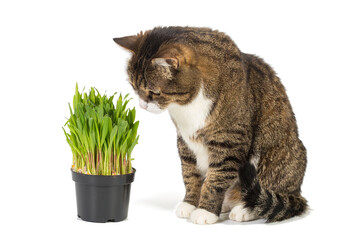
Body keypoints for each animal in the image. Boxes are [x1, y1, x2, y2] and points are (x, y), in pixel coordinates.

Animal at [114, 25, 308, 224]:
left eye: (154, 92)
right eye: (133, 87)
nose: (142, 105)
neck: (186, 106)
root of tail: (297, 193)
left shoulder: (228, 140)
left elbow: (216, 179)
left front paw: (205, 210)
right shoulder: (185, 140)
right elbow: (190, 175)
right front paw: (190, 204)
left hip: (277, 155)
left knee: (264, 194)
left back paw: (244, 209)